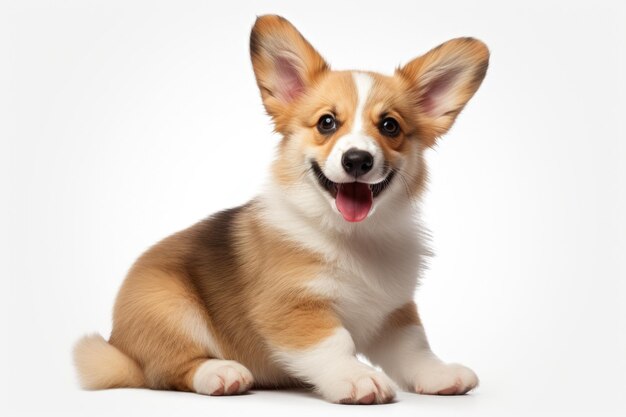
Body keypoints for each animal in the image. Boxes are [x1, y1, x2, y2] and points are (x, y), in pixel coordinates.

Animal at [73, 14, 488, 402]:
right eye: (326, 123)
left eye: (390, 126)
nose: (357, 160)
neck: (352, 234)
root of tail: (120, 347)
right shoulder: (293, 308)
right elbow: (334, 343)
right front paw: (356, 378)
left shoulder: (393, 310)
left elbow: (414, 346)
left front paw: (438, 374)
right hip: (168, 306)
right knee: (166, 369)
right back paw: (220, 373)